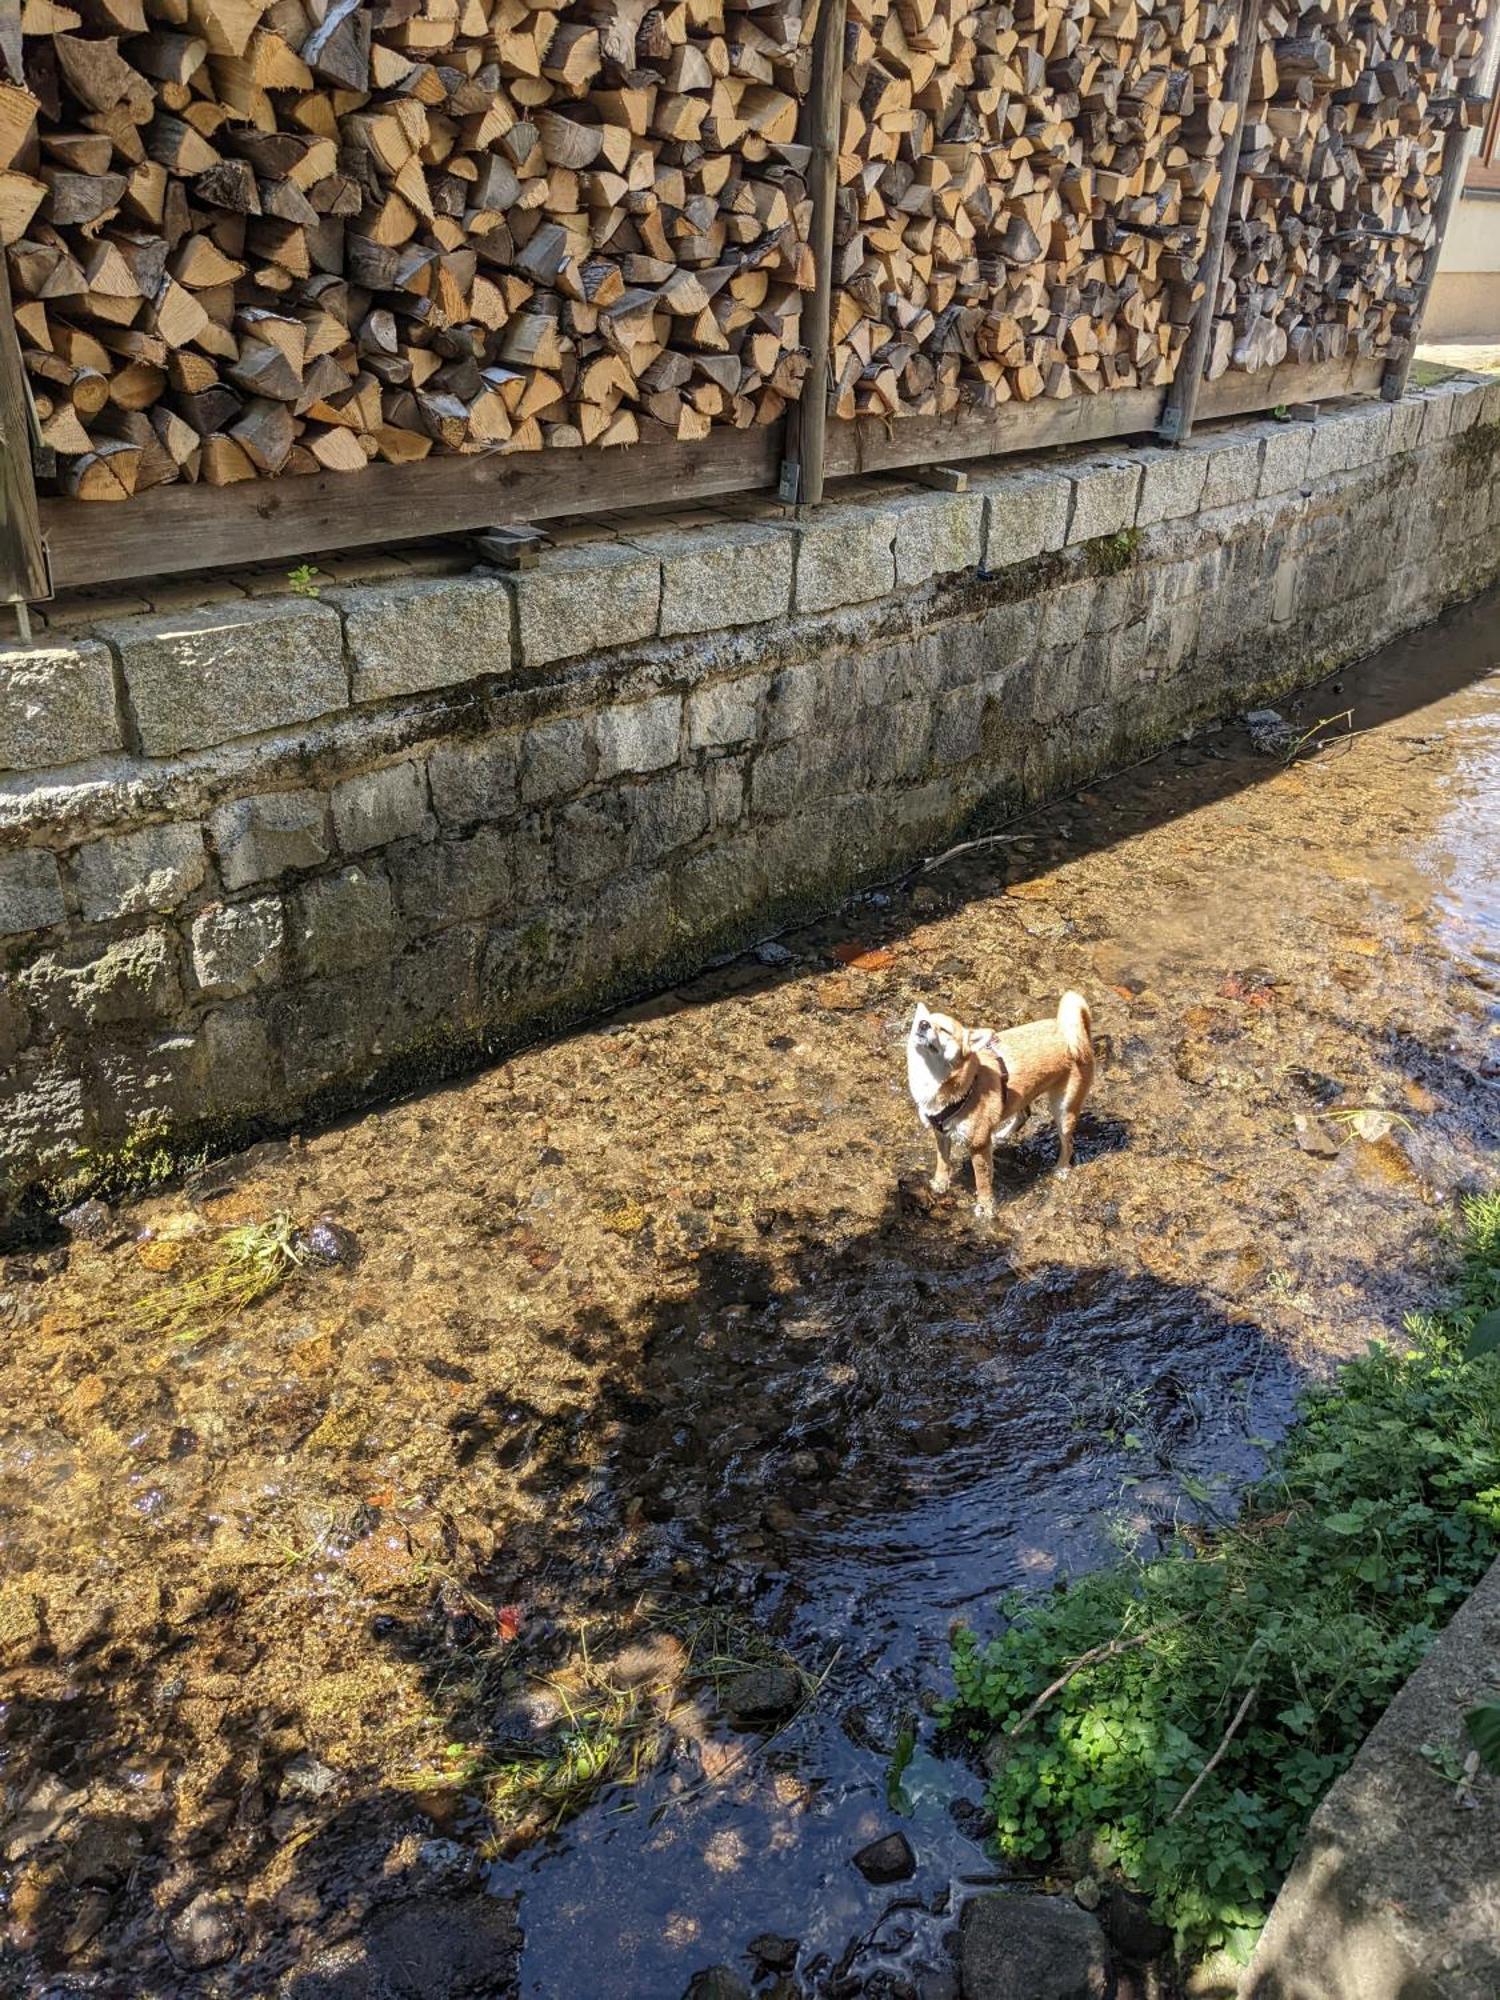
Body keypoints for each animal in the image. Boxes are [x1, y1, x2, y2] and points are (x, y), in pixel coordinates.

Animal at [912, 988, 1096, 1216]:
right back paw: (1001, 1134)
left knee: (1068, 1144)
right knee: (1024, 1115)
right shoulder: (940, 1134)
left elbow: (982, 1181)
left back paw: (1061, 1169)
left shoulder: (979, 1146)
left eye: (944, 1030)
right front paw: (939, 1183)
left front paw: (985, 1208)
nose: (923, 1024)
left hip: (1064, 1111)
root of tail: (1078, 1033)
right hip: (1022, 1095)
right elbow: (943, 1162)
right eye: (924, 1021)